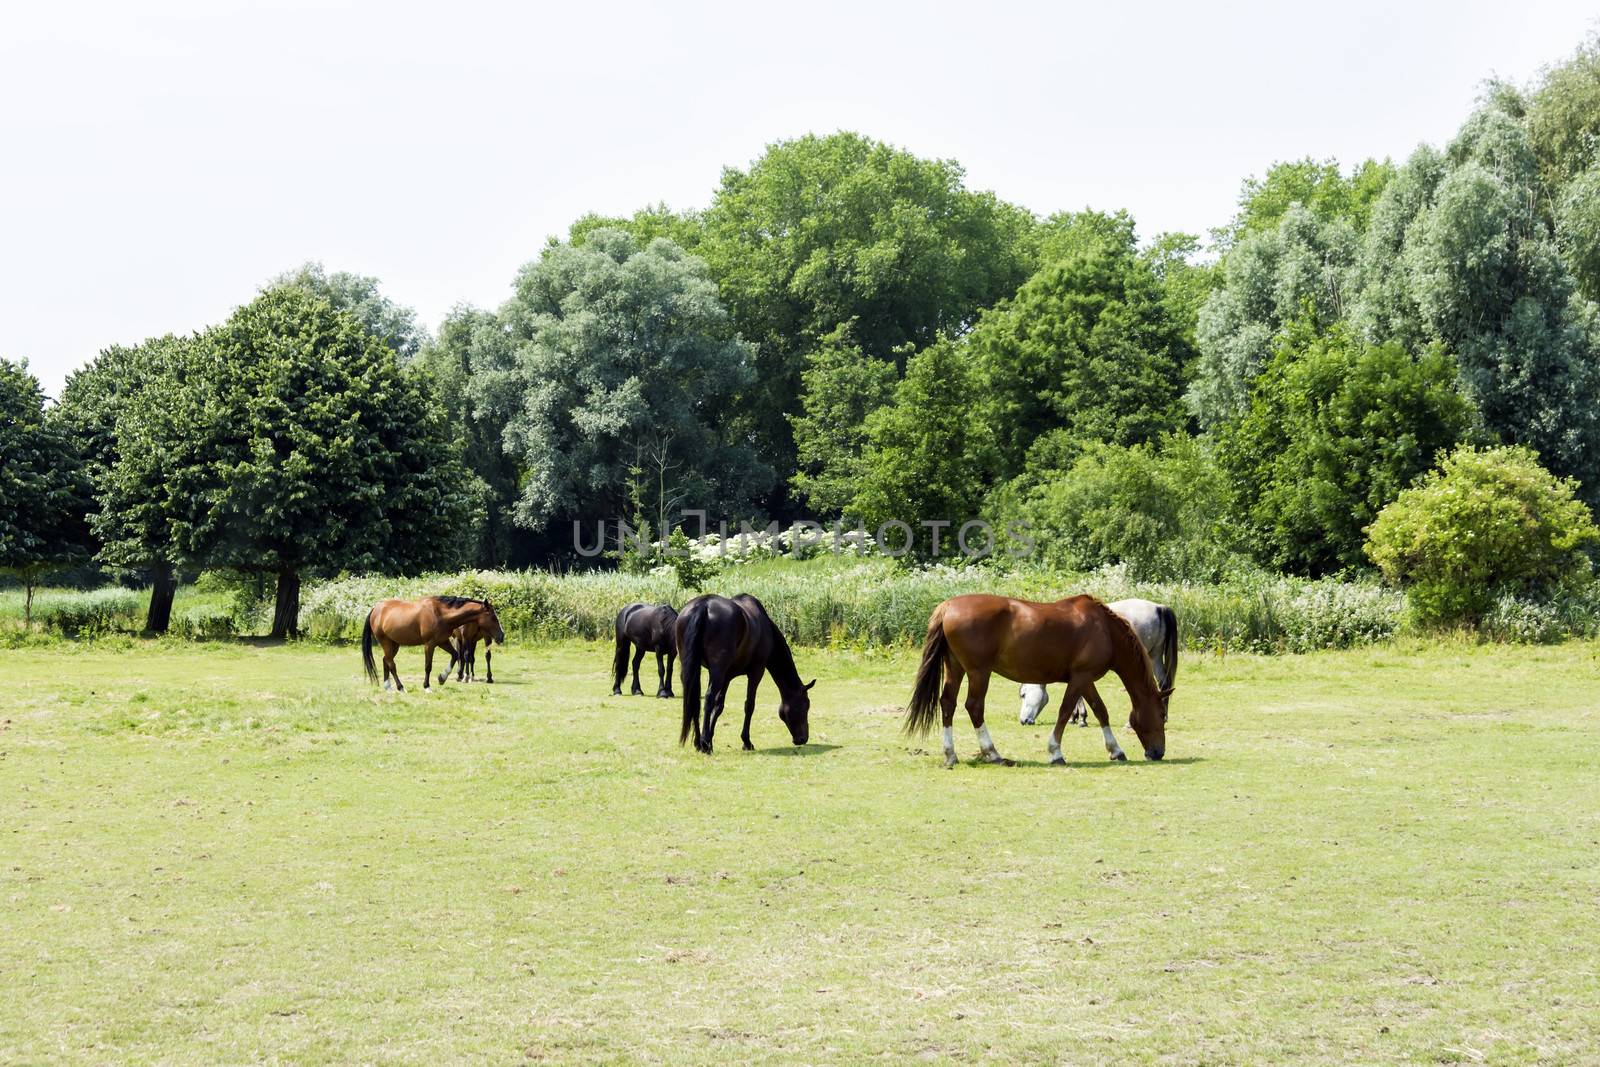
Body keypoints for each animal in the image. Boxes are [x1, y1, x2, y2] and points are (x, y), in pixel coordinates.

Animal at [360, 591, 502, 694]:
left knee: (386, 661)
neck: (440, 614)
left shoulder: (443, 641)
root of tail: (375, 609)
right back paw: (400, 687)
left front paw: (442, 678)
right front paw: (427, 686)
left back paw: (388, 687)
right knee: (391, 664)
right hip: (386, 643)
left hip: (393, 644)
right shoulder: (430, 644)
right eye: (493, 617)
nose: (502, 636)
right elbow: (428, 666)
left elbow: (455, 655)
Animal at [678, 598, 819, 755]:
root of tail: (704, 604)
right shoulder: (756, 672)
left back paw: (698, 742)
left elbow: (719, 706)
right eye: (805, 705)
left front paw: (710, 740)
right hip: (717, 671)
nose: (803, 739)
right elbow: (749, 705)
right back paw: (703, 744)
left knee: (693, 700)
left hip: (692, 668)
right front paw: (746, 742)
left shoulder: (726, 676)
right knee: (708, 698)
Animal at [1024, 598, 1177, 729]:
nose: (1024, 720)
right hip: (1154, 656)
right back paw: (1162, 717)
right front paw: (1074, 717)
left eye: (1023, 694)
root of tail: (1158, 607)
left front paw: (1081, 719)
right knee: (1164, 684)